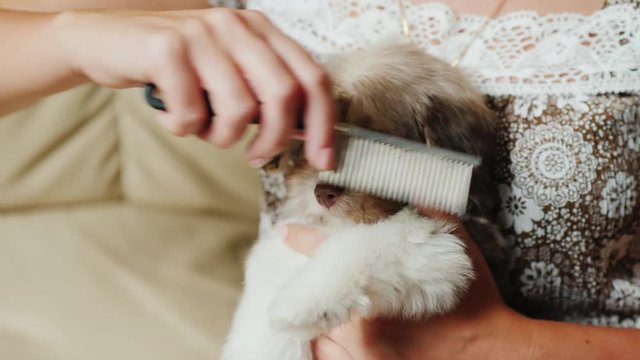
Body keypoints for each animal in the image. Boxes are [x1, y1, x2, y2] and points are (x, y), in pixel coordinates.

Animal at [222, 40, 498, 360]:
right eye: (317, 141)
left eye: (384, 147)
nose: (322, 192)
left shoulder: (439, 244)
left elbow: (367, 246)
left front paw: (304, 302)